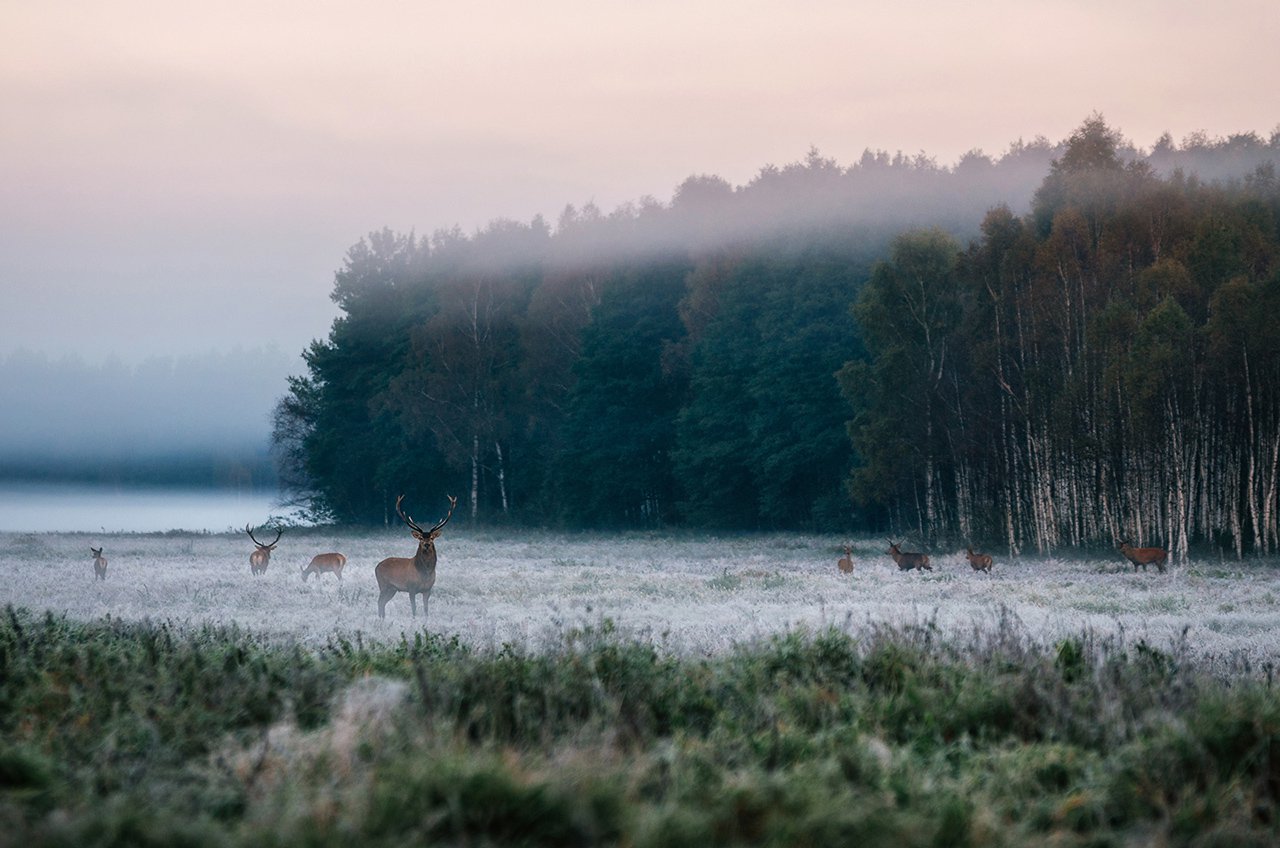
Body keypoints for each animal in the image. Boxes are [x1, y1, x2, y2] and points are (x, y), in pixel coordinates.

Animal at [373, 494, 460, 622]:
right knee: (379, 602)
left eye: (432, 537)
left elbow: (426, 608)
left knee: (382, 602)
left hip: (393, 589)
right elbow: (414, 608)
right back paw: (380, 619)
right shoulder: (411, 588)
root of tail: (377, 566)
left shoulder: (428, 589)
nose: (427, 544)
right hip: (383, 584)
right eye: (421, 538)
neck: (424, 573)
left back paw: (383, 618)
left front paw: (426, 620)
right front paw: (414, 621)